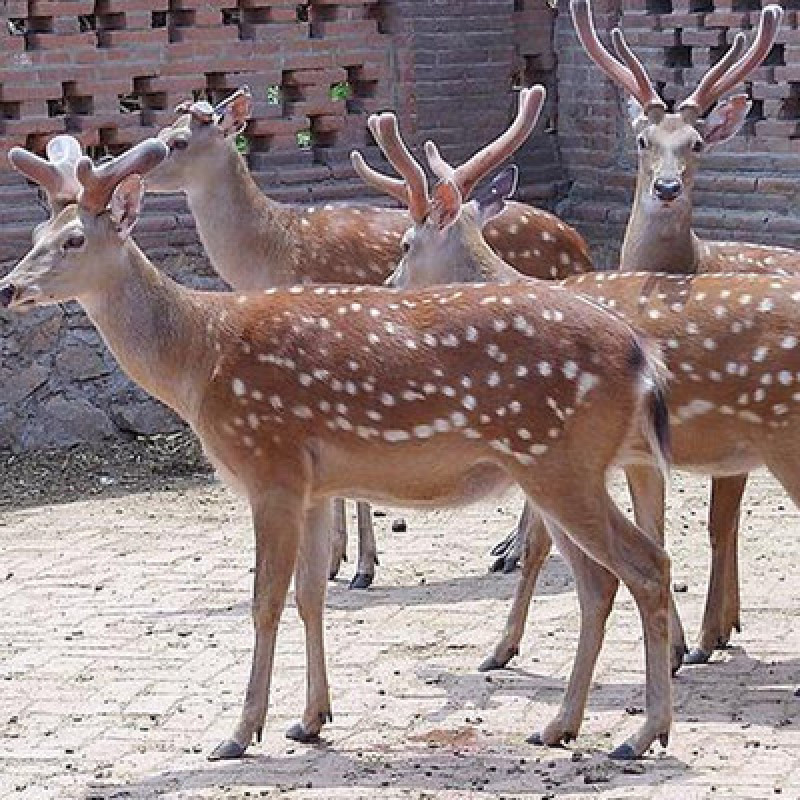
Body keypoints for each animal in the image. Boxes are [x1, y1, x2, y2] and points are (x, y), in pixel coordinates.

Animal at [1, 136, 674, 761]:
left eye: (74, 240)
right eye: (37, 231)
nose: (9, 287)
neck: (200, 361)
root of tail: (642, 356)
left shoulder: (269, 465)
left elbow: (265, 600)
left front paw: (240, 733)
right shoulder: (314, 484)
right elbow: (310, 595)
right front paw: (311, 719)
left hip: (560, 462)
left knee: (646, 564)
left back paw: (643, 733)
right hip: (556, 468)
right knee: (598, 581)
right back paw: (560, 724)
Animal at [141, 85, 593, 589]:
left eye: (178, 141)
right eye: (164, 129)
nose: (134, 165)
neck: (272, 253)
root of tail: (581, 246)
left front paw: (359, 566)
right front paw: (336, 558)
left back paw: (511, 551)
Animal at [354, 96, 800, 691]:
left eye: (405, 243)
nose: (387, 288)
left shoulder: (550, 439)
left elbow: (540, 545)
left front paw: (501, 649)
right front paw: (676, 649)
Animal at [558, 0, 800, 664]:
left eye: (696, 143)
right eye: (643, 140)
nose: (666, 188)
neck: (692, 262)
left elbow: (716, 524)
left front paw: (704, 635)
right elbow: (677, 526)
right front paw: (697, 636)